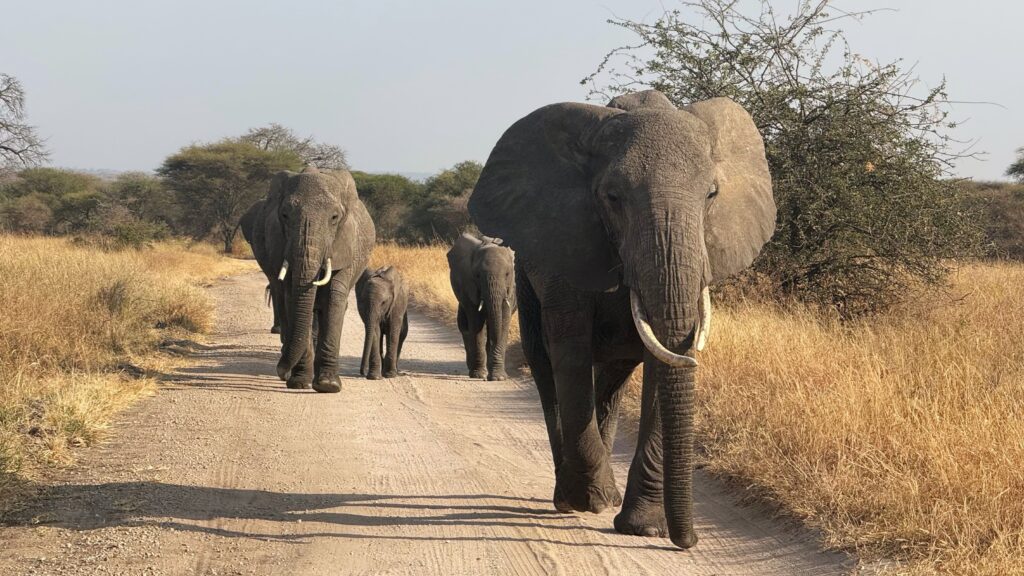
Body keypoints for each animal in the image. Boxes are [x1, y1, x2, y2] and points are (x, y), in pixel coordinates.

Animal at [249, 166, 376, 392]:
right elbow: (293, 298)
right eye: (285, 215)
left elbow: (334, 299)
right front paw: (299, 382)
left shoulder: (346, 245)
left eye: (334, 218)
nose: (280, 371)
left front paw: (328, 386)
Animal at [446, 233, 517, 381]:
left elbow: (503, 321)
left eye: (507, 274)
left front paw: (498, 378)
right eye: (478, 275)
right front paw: (479, 375)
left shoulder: (511, 290)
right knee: (465, 326)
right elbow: (476, 322)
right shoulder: (468, 285)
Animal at [467, 90, 775, 549]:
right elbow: (570, 350)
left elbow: (662, 359)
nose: (689, 541)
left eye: (711, 194)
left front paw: (644, 527)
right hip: (525, 277)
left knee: (613, 376)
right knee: (546, 368)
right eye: (612, 197)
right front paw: (592, 500)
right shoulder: (565, 244)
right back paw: (570, 497)